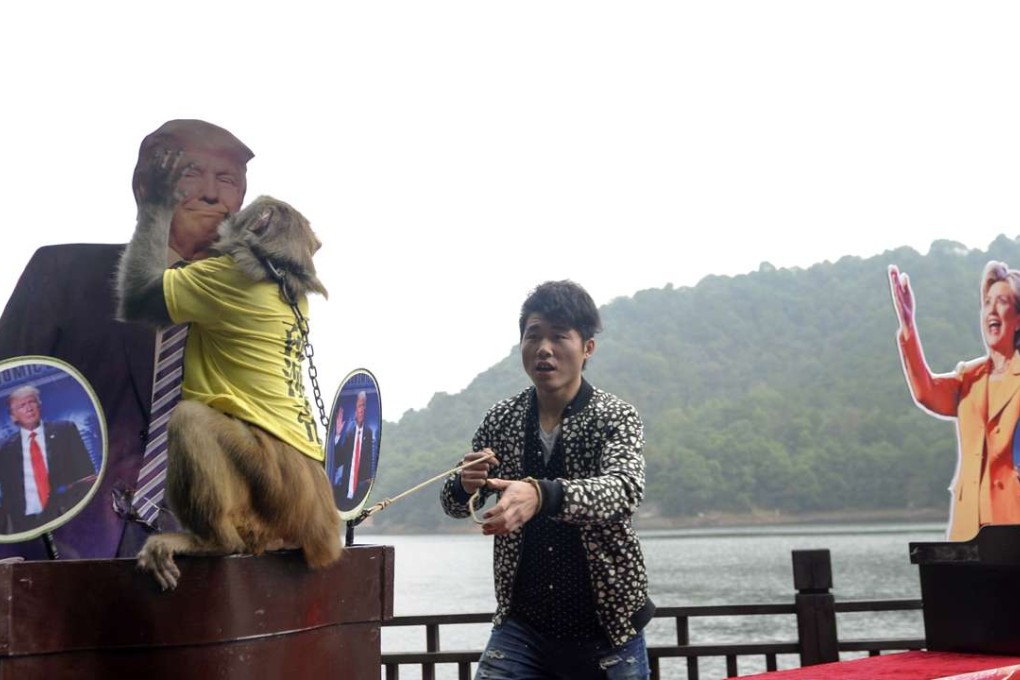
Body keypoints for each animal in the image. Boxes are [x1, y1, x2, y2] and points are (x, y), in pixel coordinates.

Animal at [117, 150, 342, 590]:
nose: (225, 213)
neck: (277, 269)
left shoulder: (213, 283)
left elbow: (142, 296)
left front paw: (160, 196)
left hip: (273, 492)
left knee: (190, 418)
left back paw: (213, 542)